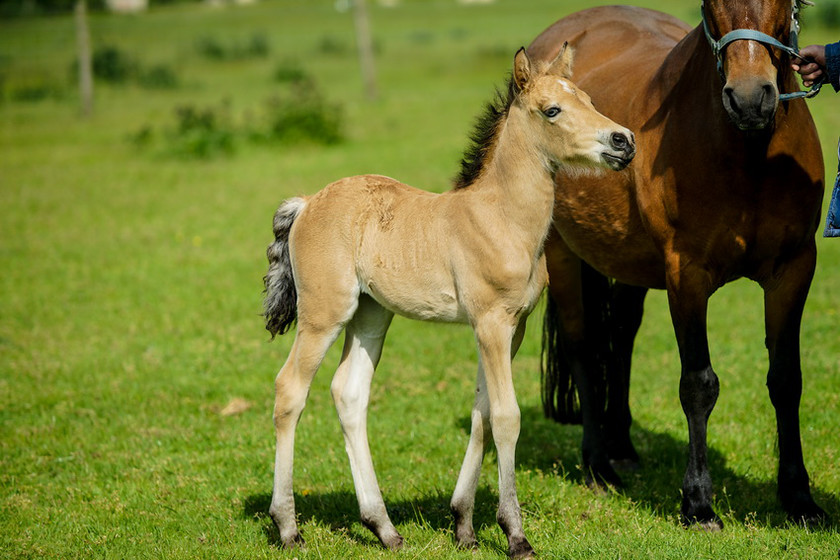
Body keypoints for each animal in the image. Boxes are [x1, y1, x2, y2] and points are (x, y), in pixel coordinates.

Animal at [266, 47, 632, 556]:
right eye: (552, 110)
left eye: (589, 100)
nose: (624, 141)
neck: (502, 218)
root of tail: (306, 203)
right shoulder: (491, 323)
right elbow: (506, 417)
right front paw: (514, 534)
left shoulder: (511, 327)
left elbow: (482, 413)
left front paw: (463, 525)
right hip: (324, 314)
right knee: (290, 390)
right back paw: (287, 527)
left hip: (371, 315)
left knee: (349, 393)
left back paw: (384, 528)